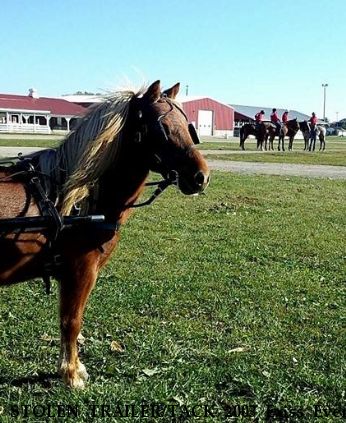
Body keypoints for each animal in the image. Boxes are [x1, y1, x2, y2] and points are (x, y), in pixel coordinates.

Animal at [0, 81, 208, 390]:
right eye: (163, 128)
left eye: (187, 125)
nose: (201, 177)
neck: (76, 198)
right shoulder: (81, 270)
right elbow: (71, 321)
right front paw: (72, 374)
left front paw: (72, 368)